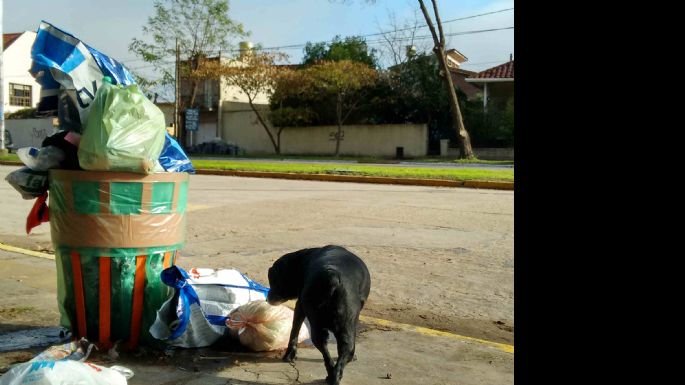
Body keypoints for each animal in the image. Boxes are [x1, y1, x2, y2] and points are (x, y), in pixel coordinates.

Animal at [268, 246, 372, 384]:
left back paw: (334, 375)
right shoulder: (300, 305)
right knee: (338, 347)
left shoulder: (300, 305)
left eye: (273, 280)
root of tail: (332, 277)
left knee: (334, 346)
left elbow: (294, 330)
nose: (268, 297)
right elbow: (294, 330)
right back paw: (334, 375)